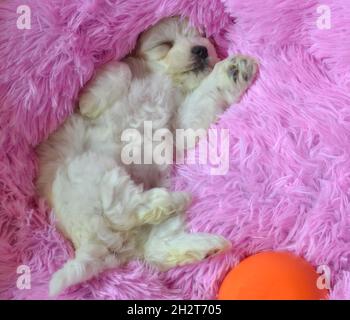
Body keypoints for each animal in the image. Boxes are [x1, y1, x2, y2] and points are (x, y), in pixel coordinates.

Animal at [36, 17, 258, 296]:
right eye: (165, 44)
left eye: (204, 37)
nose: (201, 50)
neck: (165, 77)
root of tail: (93, 245)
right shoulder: (125, 70)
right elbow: (119, 68)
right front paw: (89, 103)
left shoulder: (179, 124)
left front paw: (232, 72)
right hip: (87, 169)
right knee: (123, 210)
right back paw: (174, 201)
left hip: (142, 220)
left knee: (155, 244)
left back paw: (201, 241)